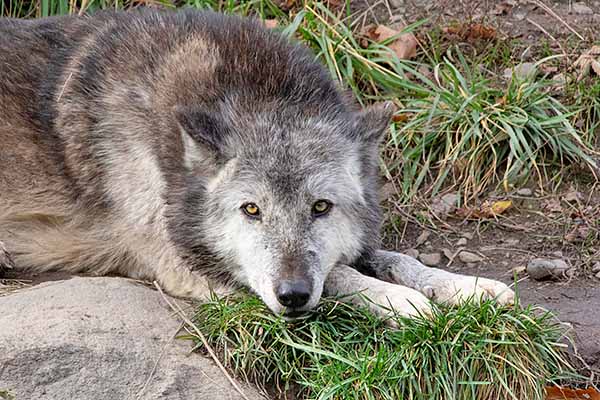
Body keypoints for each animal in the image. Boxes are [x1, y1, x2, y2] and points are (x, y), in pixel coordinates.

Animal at [0, 9, 516, 318]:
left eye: (321, 207)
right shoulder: (180, 262)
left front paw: (466, 287)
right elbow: (341, 274)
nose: (293, 296)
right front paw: (399, 299)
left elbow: (390, 256)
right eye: (251, 209)